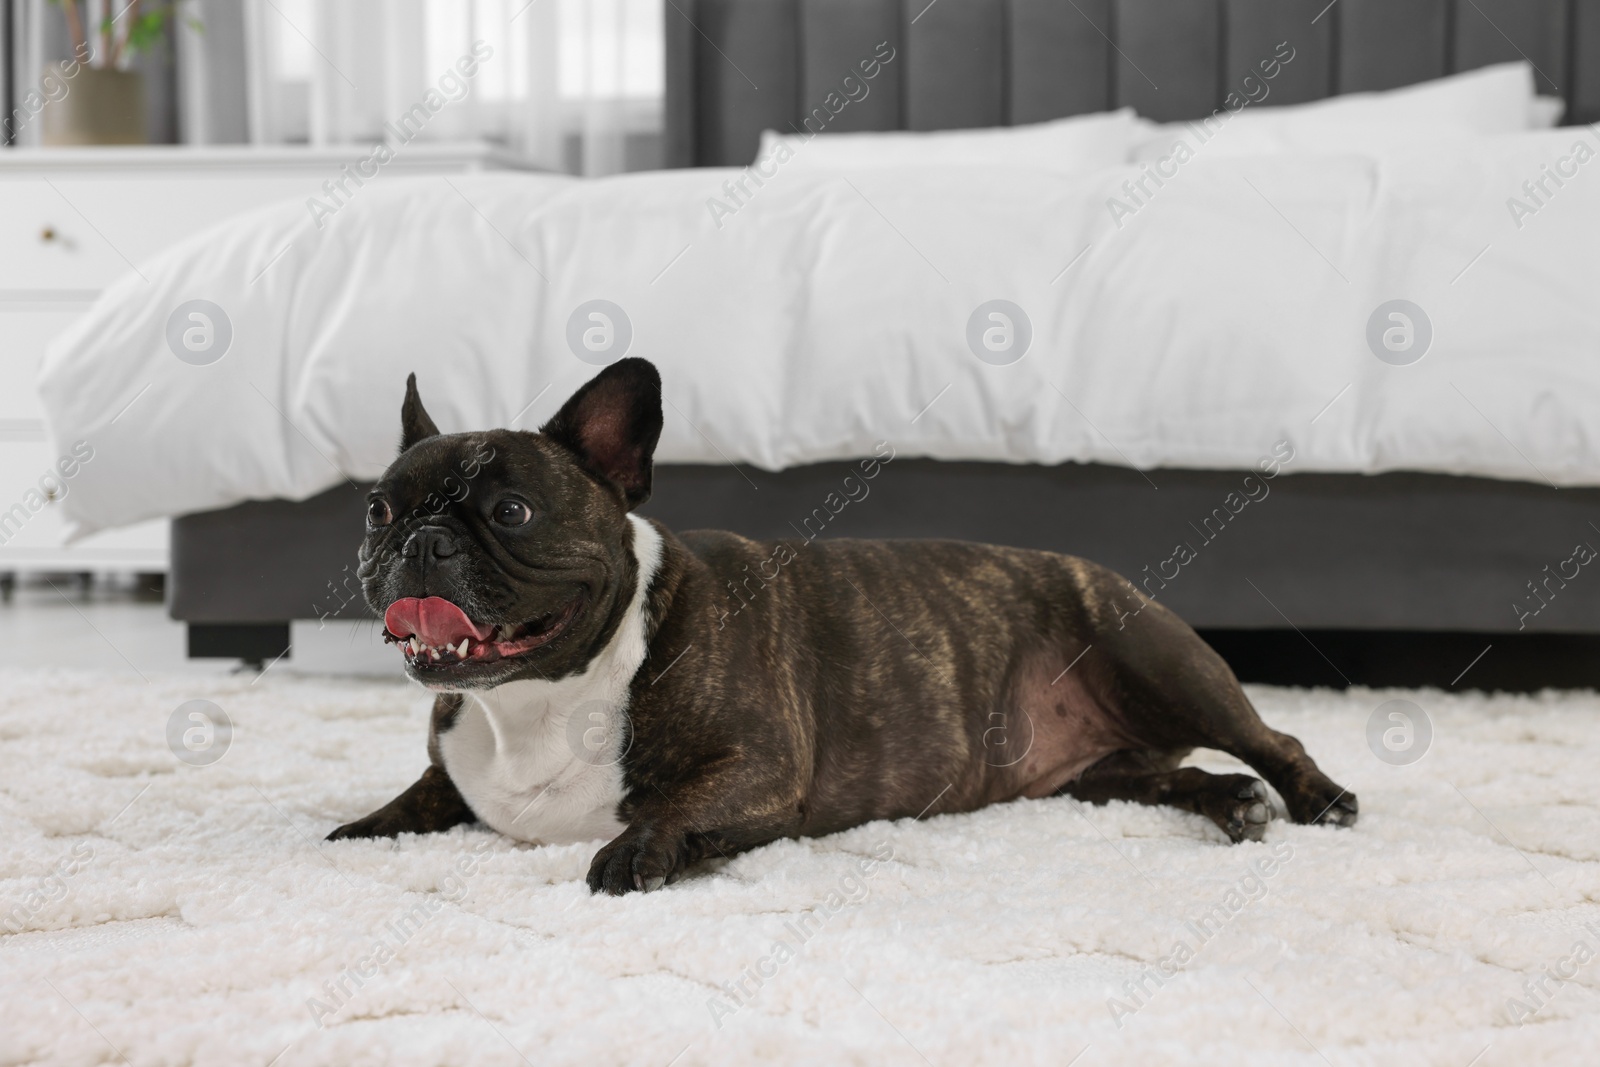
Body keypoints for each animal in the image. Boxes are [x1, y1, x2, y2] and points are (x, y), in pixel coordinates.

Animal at [331, 356, 1356, 895]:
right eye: (378, 510)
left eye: (510, 512)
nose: (420, 539)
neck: (538, 700)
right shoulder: (453, 767)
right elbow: (420, 797)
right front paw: (361, 830)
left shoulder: (760, 763)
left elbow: (672, 803)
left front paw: (634, 851)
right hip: (1094, 779)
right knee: (1164, 776)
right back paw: (1233, 804)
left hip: (1153, 656)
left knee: (1272, 735)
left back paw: (1315, 798)